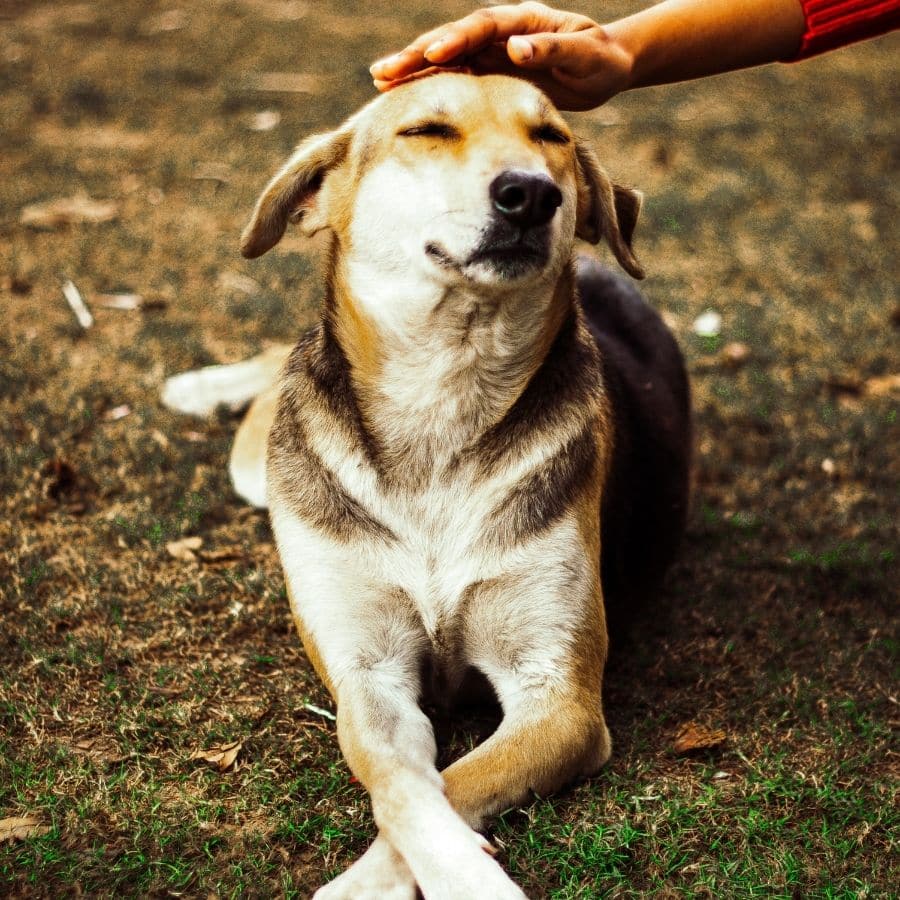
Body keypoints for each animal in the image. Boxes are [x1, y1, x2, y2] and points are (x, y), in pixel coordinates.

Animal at [165, 74, 692, 896]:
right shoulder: (365, 678)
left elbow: (454, 785)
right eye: (427, 131)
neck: (443, 397)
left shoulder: (562, 700)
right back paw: (201, 385)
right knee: (278, 367)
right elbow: (404, 787)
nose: (530, 194)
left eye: (552, 136)